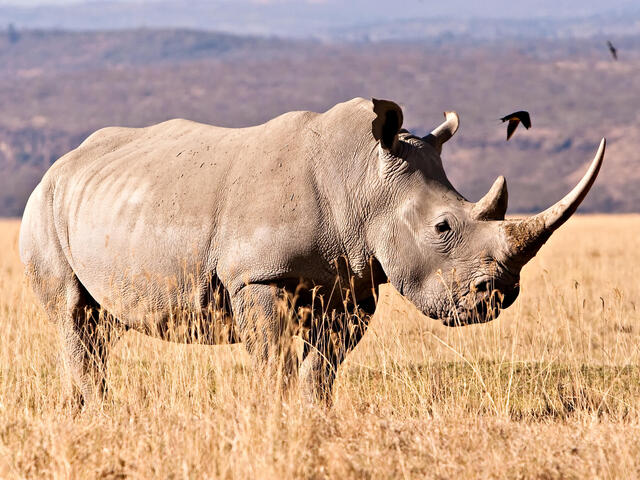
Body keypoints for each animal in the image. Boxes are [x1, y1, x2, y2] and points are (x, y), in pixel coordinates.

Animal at [20, 99, 604, 406]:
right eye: (442, 227)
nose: (498, 295)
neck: (364, 178)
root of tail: (60, 163)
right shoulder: (257, 276)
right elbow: (273, 359)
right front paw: (274, 413)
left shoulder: (355, 284)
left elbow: (323, 365)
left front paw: (312, 414)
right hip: (43, 205)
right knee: (73, 313)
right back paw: (98, 409)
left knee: (100, 325)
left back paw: (89, 408)